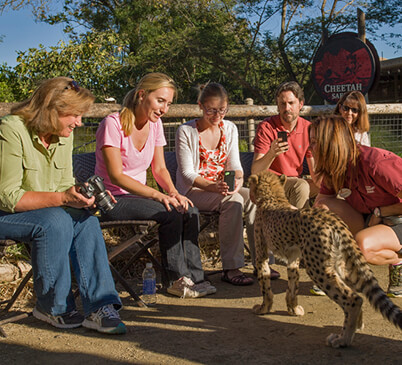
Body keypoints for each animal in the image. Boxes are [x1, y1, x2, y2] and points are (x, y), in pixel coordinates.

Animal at [248, 171, 402, 346]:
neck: (272, 197)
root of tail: (332, 218)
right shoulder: (293, 259)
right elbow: (293, 287)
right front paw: (293, 309)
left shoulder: (262, 256)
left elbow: (265, 285)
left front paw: (263, 308)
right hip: (340, 265)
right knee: (358, 293)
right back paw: (357, 325)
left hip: (317, 268)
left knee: (353, 298)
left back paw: (343, 339)